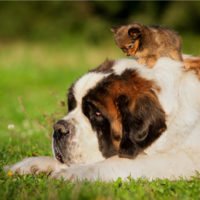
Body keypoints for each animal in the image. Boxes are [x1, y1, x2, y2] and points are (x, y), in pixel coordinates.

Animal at [8, 54, 200, 181]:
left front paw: (72, 174)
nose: (59, 129)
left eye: (97, 114)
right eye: (72, 105)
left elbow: (124, 161)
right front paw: (31, 164)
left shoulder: (187, 159)